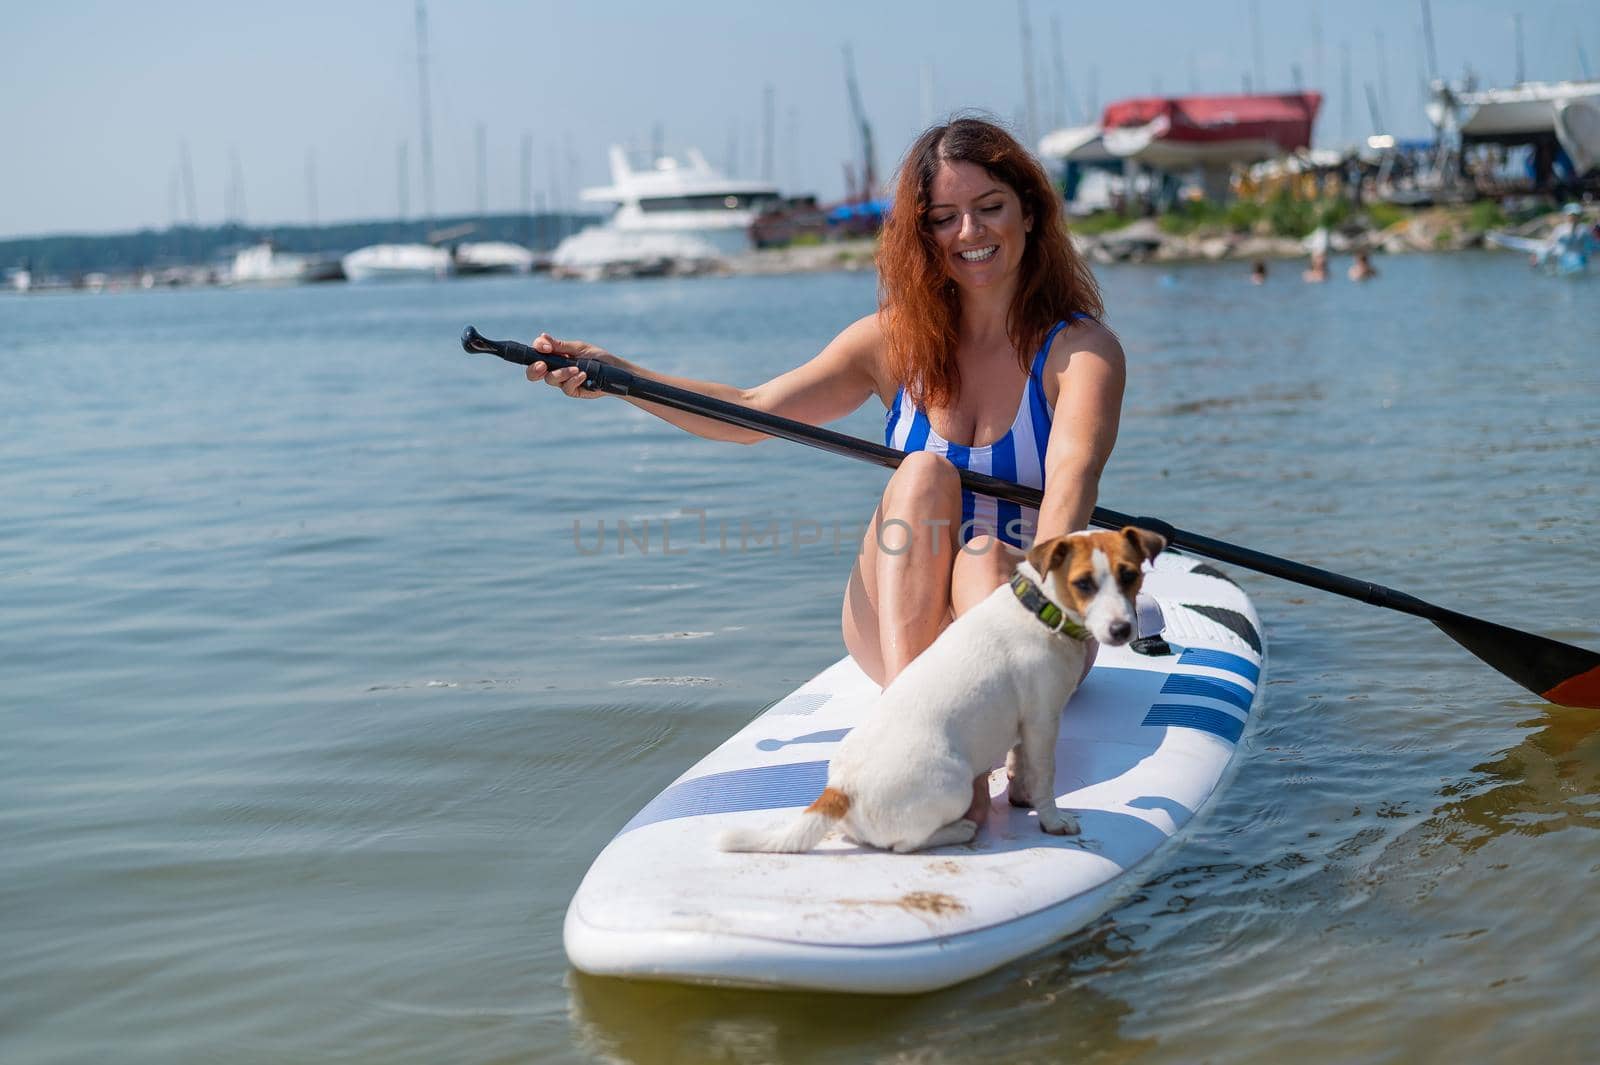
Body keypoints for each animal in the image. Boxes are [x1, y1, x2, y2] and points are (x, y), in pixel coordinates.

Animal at [720, 524, 1171, 857]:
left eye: (1129, 575)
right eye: (1083, 583)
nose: (1122, 629)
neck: (1039, 610)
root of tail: (840, 790)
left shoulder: (1024, 726)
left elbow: (1021, 764)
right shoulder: (1043, 721)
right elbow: (1045, 776)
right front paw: (1052, 820)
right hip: (953, 784)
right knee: (905, 845)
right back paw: (960, 829)